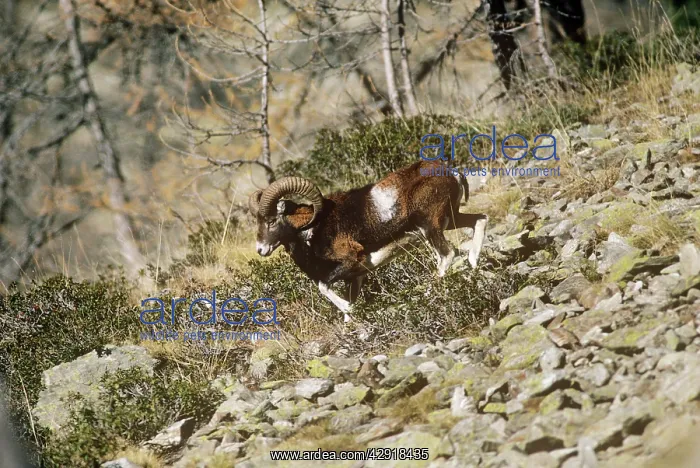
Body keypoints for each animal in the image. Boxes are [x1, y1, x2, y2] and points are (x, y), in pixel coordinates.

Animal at [248, 160, 488, 323]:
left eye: (271, 221)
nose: (260, 249)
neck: (312, 230)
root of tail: (451, 172)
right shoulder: (355, 277)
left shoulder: (352, 261)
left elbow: (324, 287)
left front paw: (349, 310)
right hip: (451, 220)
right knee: (480, 220)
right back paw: (473, 266)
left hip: (431, 227)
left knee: (447, 254)